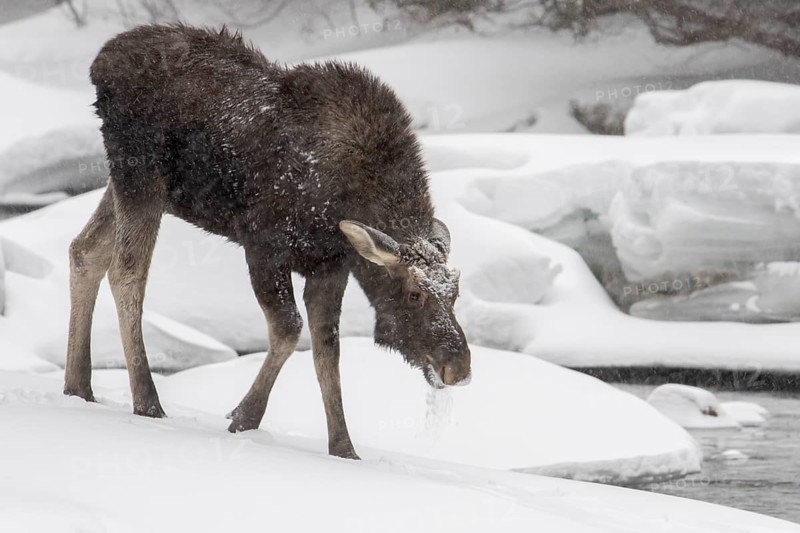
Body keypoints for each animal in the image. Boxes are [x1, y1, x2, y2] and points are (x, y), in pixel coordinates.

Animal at [64, 24, 471, 459]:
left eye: (455, 294)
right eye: (414, 293)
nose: (459, 368)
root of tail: (100, 64)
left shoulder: (330, 268)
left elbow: (328, 350)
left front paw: (344, 448)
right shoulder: (264, 244)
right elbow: (289, 329)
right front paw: (244, 417)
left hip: (137, 186)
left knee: (84, 251)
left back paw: (78, 386)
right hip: (140, 175)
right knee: (127, 270)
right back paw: (147, 401)